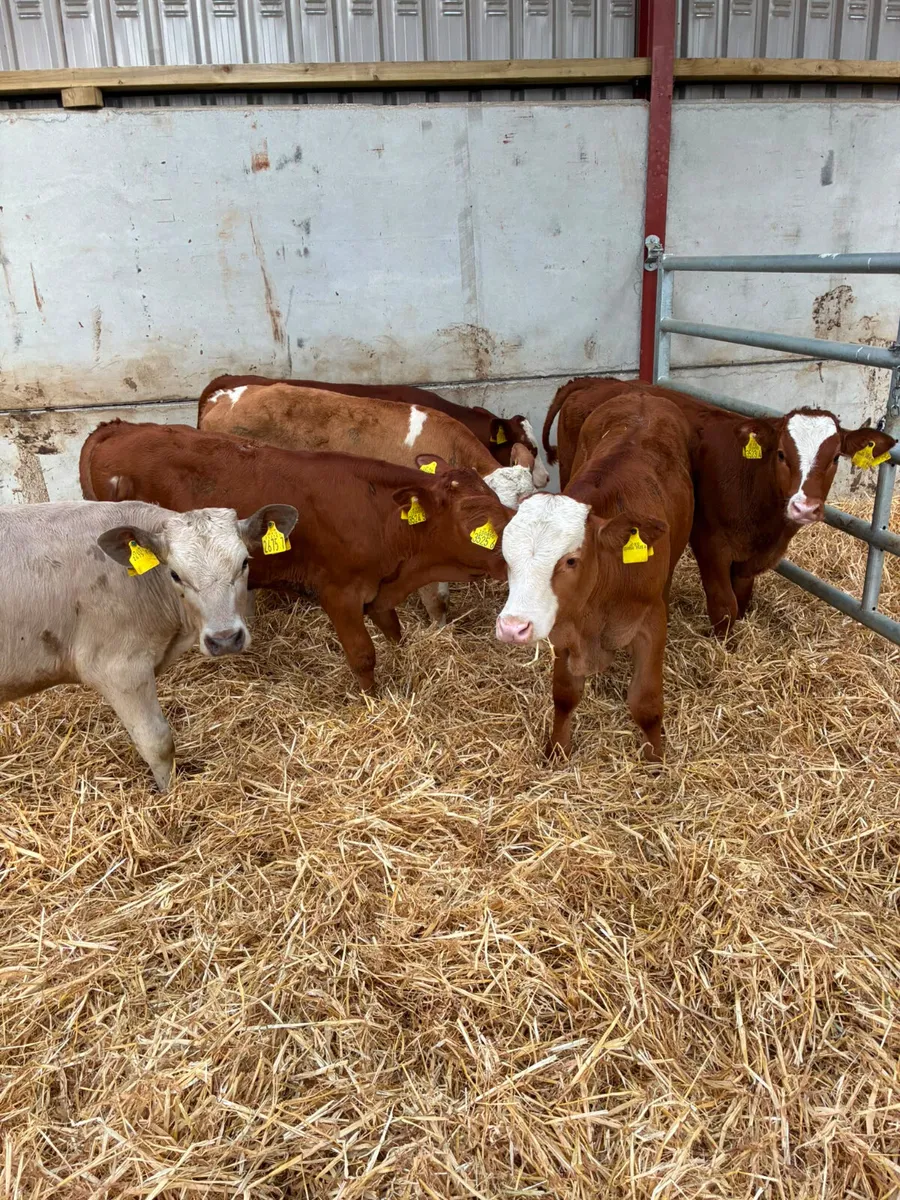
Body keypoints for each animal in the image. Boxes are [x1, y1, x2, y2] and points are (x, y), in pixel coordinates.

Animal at [0, 498, 297, 791]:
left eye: (244, 562)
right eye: (175, 574)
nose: (224, 639)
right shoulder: (120, 670)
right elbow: (157, 743)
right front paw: (170, 793)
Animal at [80, 421, 512, 694]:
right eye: (475, 513)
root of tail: (118, 426)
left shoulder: (377, 590)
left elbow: (395, 633)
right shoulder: (338, 593)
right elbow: (363, 656)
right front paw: (373, 701)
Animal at [496, 392, 695, 761]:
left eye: (571, 560)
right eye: (505, 555)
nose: (513, 628)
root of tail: (642, 394)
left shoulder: (650, 623)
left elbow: (646, 703)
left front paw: (656, 760)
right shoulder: (562, 625)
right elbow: (564, 695)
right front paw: (557, 749)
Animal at [543, 377, 897, 635]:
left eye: (835, 457)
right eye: (781, 454)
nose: (805, 508)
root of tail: (595, 381)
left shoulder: (750, 558)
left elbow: (741, 599)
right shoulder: (710, 543)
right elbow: (724, 605)